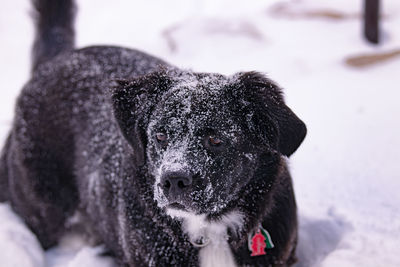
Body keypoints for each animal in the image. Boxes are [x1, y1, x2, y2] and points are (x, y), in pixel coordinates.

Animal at [0, 0, 306, 267]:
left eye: (216, 140)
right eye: (160, 136)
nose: (174, 180)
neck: (212, 232)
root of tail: (55, 61)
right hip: (42, 204)